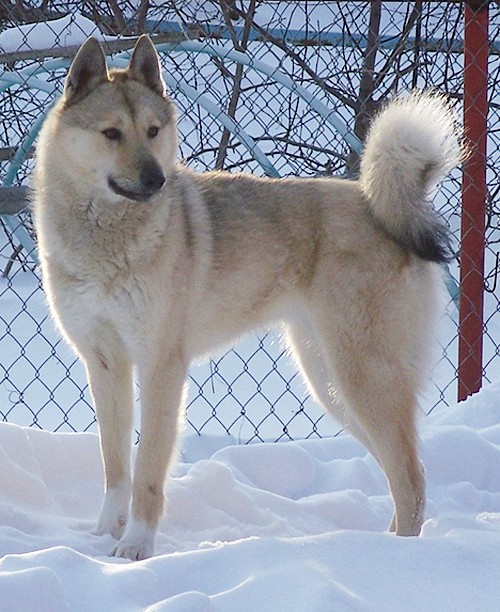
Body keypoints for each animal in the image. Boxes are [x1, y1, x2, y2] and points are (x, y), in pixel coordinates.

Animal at [33, 35, 462, 560]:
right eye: (111, 133)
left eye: (152, 131)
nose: (156, 180)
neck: (107, 234)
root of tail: (381, 206)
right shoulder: (104, 364)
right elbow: (115, 466)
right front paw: (102, 537)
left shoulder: (160, 367)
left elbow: (148, 470)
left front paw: (135, 548)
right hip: (332, 382)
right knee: (401, 474)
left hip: (363, 377)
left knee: (412, 479)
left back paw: (397, 557)